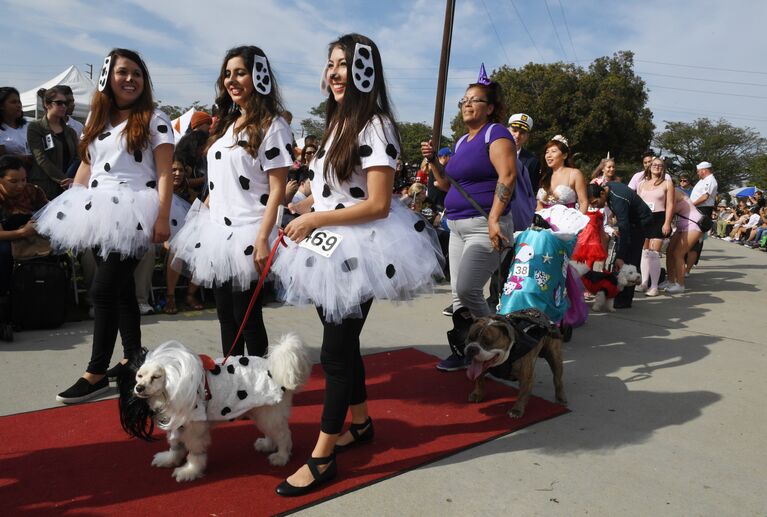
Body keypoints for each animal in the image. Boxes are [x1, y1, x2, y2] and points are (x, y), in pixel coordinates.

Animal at [117, 332, 312, 482]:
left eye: (156, 377)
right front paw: (170, 459)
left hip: (269, 414)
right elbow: (176, 445)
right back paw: (267, 445)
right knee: (273, 432)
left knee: (284, 435)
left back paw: (281, 456)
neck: (173, 387)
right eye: (139, 376)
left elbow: (195, 453)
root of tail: (277, 367)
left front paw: (189, 471)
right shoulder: (177, 423)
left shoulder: (194, 428)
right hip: (261, 411)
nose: (139, 388)